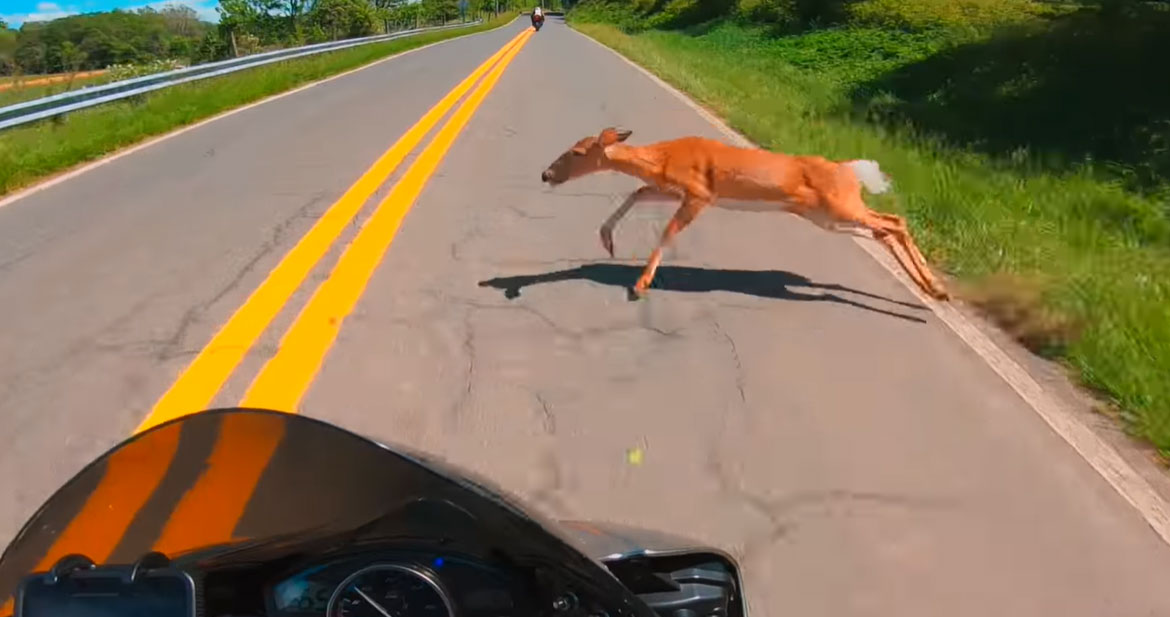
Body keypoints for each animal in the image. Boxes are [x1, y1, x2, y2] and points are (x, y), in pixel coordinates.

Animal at [539, 127, 950, 301]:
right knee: (887, 227)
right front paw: (606, 240)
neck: (663, 158)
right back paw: (934, 289)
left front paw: (640, 284)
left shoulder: (701, 194)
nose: (546, 174)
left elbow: (668, 232)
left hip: (839, 207)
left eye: (577, 152)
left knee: (893, 223)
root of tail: (850, 170)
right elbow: (637, 192)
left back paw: (933, 289)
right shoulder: (671, 188)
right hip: (827, 217)